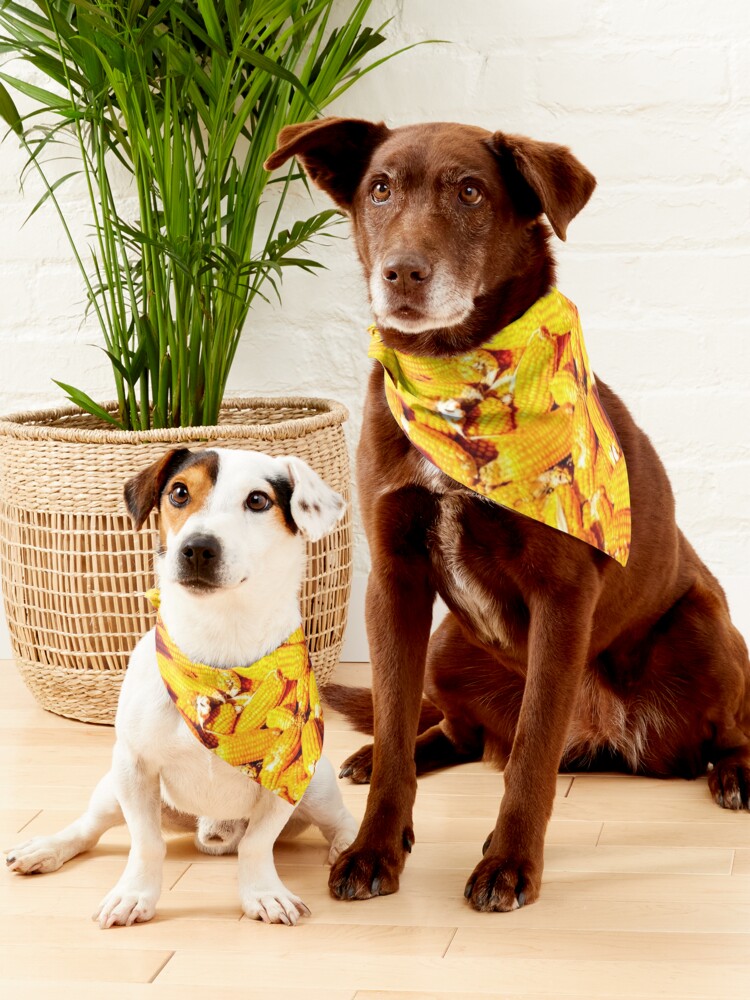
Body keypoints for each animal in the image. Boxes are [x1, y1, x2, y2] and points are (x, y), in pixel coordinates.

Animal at [5, 450, 358, 924]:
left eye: (258, 500)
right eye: (179, 492)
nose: (198, 547)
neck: (216, 648)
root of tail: (212, 830)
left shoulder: (287, 776)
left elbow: (257, 844)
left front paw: (262, 893)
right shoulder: (133, 766)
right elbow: (146, 843)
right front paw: (134, 894)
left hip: (316, 785)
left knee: (340, 820)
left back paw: (349, 849)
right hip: (112, 788)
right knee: (89, 828)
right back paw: (46, 848)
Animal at [266, 121, 750, 912]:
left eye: (470, 192)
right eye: (380, 188)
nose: (402, 273)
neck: (455, 378)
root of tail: (610, 740)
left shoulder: (562, 598)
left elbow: (530, 753)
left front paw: (508, 863)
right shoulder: (393, 581)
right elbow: (397, 722)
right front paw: (374, 847)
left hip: (703, 632)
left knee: (728, 725)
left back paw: (736, 773)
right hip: (448, 647)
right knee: (455, 730)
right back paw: (382, 753)